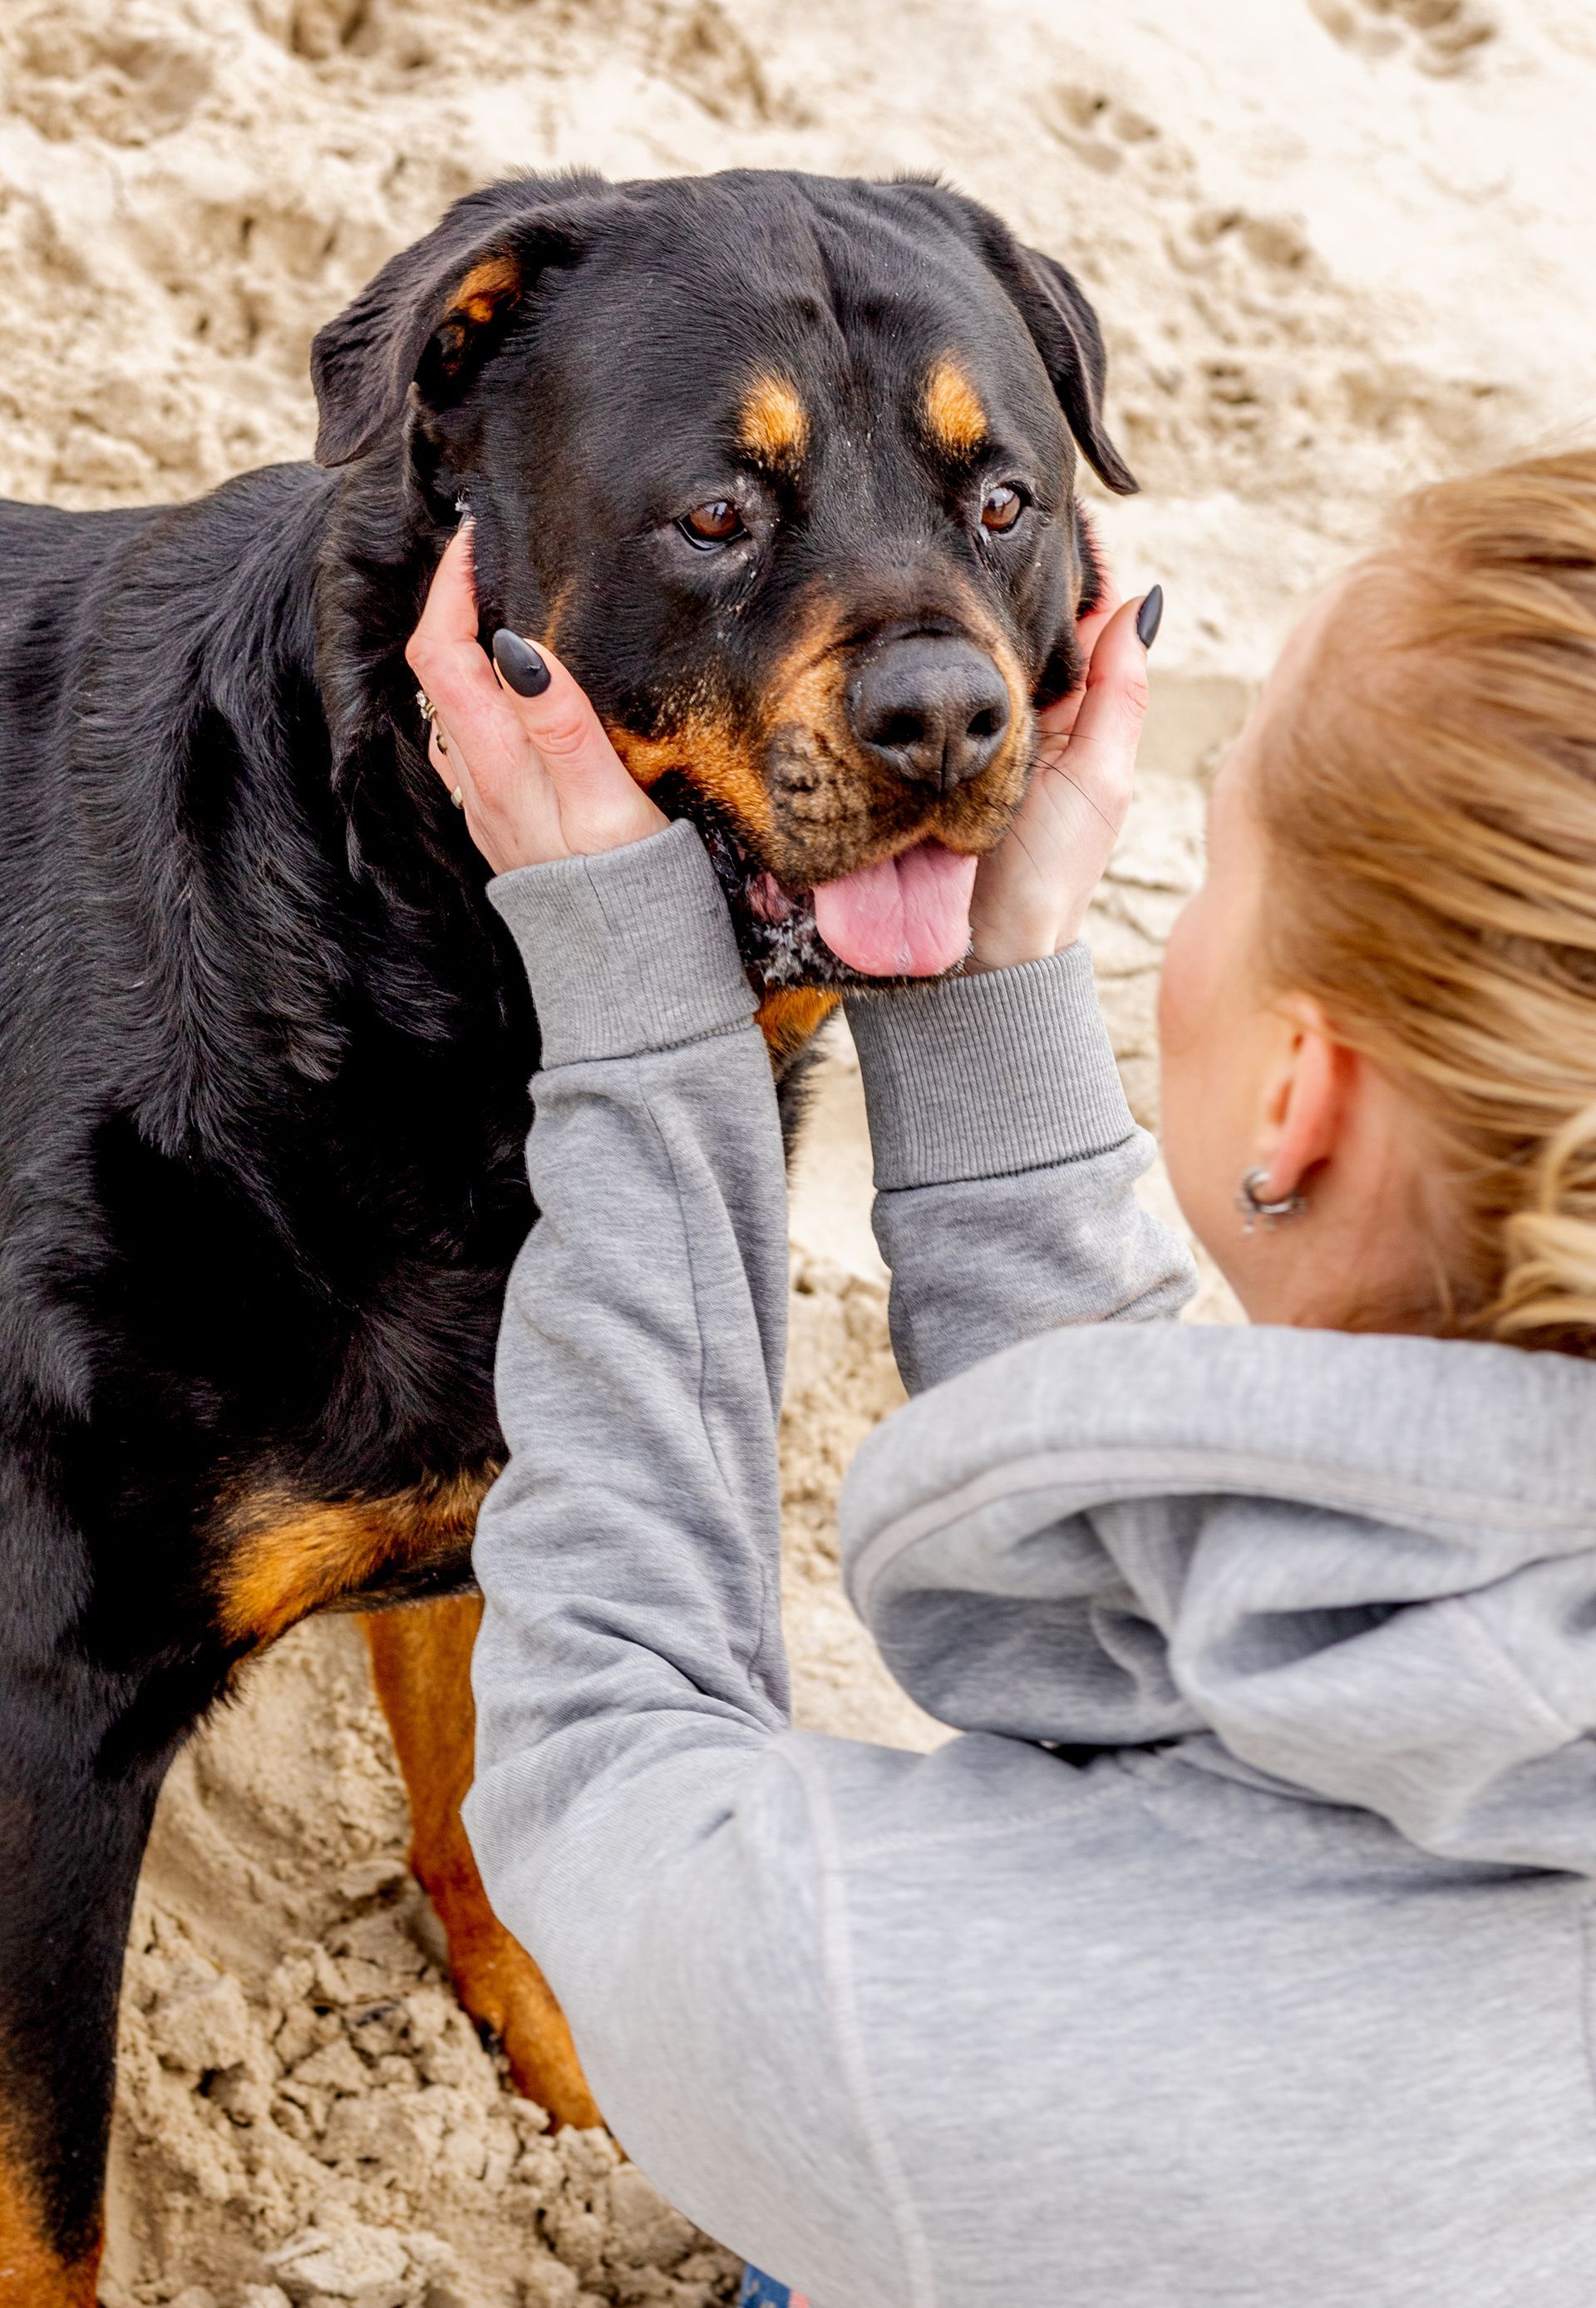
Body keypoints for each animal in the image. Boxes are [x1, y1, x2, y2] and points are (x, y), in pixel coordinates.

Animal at [0, 165, 1134, 2305]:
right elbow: (49, 2207)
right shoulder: (44, 1709)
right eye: (713, 517)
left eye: (1004, 501)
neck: (416, 954)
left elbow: (501, 1813)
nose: (948, 718)